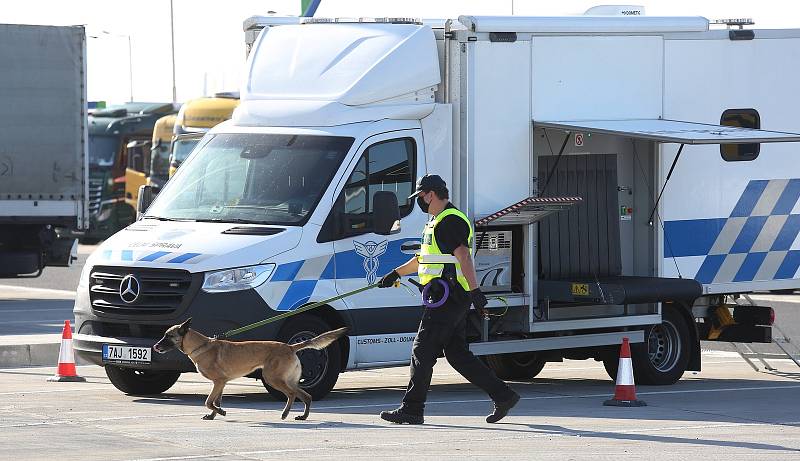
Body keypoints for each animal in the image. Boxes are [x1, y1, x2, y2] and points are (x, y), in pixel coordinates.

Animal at [153, 316, 346, 420]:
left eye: (168, 336)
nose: (155, 347)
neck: (201, 345)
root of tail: (290, 347)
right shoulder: (221, 383)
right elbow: (215, 401)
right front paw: (216, 414)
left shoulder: (219, 382)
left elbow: (208, 402)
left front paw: (219, 412)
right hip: (288, 380)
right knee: (306, 396)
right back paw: (303, 416)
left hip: (273, 379)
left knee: (292, 394)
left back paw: (285, 414)